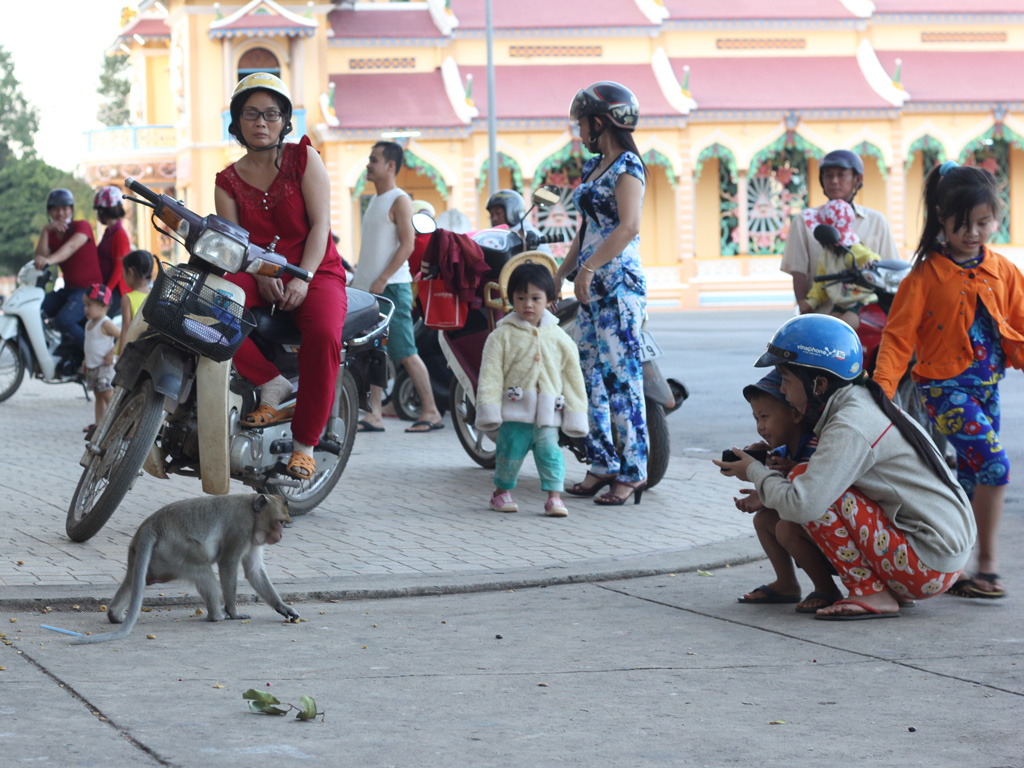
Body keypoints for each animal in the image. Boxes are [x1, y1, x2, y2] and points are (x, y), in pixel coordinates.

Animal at [73, 493, 299, 643]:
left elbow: (254, 570)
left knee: (134, 579)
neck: (252, 513)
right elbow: (228, 563)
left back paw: (114, 614)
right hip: (176, 549)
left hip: (136, 553)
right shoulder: (240, 528)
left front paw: (283, 607)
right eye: (280, 522)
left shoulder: (252, 539)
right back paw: (218, 615)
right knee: (202, 569)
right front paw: (234, 613)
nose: (281, 535)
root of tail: (152, 525)